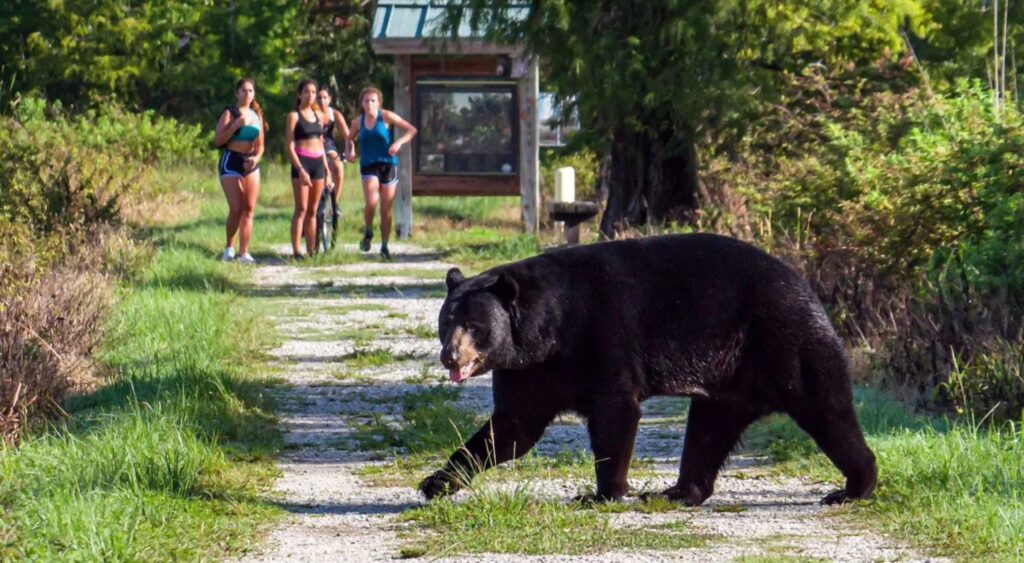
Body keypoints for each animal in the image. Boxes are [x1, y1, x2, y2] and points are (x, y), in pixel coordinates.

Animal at [420, 233, 877, 506]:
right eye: (446, 321)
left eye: (474, 326)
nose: (450, 357)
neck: (547, 331)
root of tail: (806, 286)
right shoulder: (529, 370)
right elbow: (512, 428)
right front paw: (436, 481)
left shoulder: (600, 337)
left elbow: (615, 411)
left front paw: (603, 492)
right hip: (728, 378)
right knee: (709, 430)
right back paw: (678, 491)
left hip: (785, 340)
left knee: (827, 409)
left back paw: (853, 487)